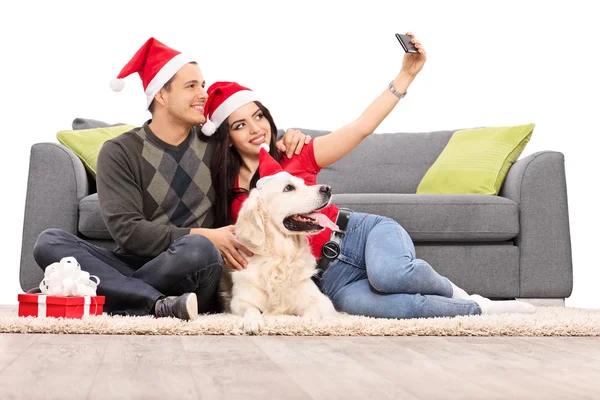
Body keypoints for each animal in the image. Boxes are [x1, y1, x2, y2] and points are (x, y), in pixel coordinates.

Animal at [219, 173, 342, 332]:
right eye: (288, 188)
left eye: (304, 183)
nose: (327, 189)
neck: (281, 256)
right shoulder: (239, 300)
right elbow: (250, 308)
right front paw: (252, 321)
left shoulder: (323, 300)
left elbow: (313, 308)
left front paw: (309, 320)